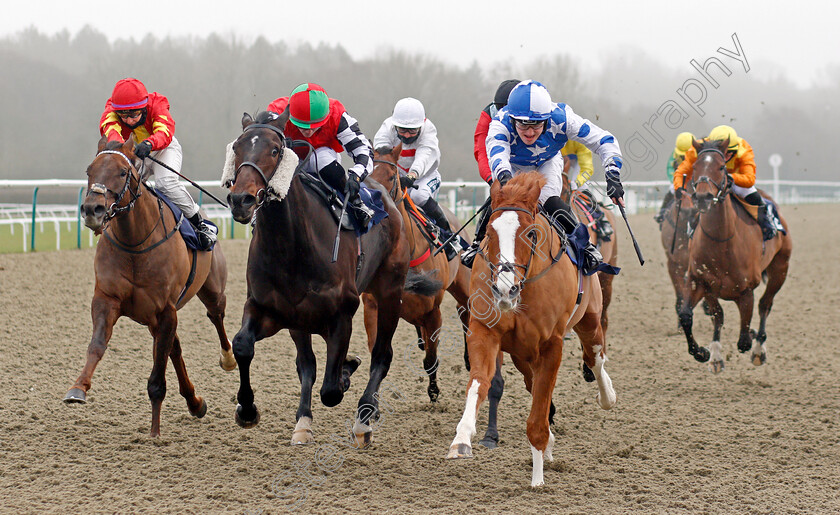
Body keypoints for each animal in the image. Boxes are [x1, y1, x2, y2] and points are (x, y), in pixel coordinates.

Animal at [64, 136, 236, 436]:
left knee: (216, 316)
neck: (135, 244)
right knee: (175, 348)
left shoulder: (165, 310)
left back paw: (227, 359)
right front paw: (78, 388)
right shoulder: (107, 299)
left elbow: (157, 376)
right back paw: (195, 402)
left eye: (123, 172)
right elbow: (97, 345)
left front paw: (155, 433)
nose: (92, 210)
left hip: (211, 290)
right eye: (89, 170)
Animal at [226, 112, 426, 448]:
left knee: (381, 355)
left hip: (389, 292)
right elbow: (244, 347)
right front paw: (248, 409)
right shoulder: (270, 309)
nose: (241, 199)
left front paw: (345, 377)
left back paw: (364, 417)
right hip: (302, 320)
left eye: (275, 150)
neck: (291, 246)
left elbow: (331, 389)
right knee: (309, 363)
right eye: (237, 148)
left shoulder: (342, 313)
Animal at [446, 173, 616, 488]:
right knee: (533, 381)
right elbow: (479, 382)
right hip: (522, 353)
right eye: (489, 231)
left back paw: (607, 396)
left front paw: (537, 477)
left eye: (531, 233)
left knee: (594, 358)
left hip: (589, 318)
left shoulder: (552, 344)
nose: (505, 288)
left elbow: (539, 407)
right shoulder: (484, 331)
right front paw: (461, 439)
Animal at [680, 137, 792, 370]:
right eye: (695, 167)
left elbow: (744, 338)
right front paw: (705, 353)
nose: (703, 197)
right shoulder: (700, 281)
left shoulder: (746, 291)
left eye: (721, 167)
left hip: (780, 268)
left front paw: (752, 339)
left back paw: (759, 349)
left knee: (765, 305)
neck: (721, 243)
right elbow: (690, 316)